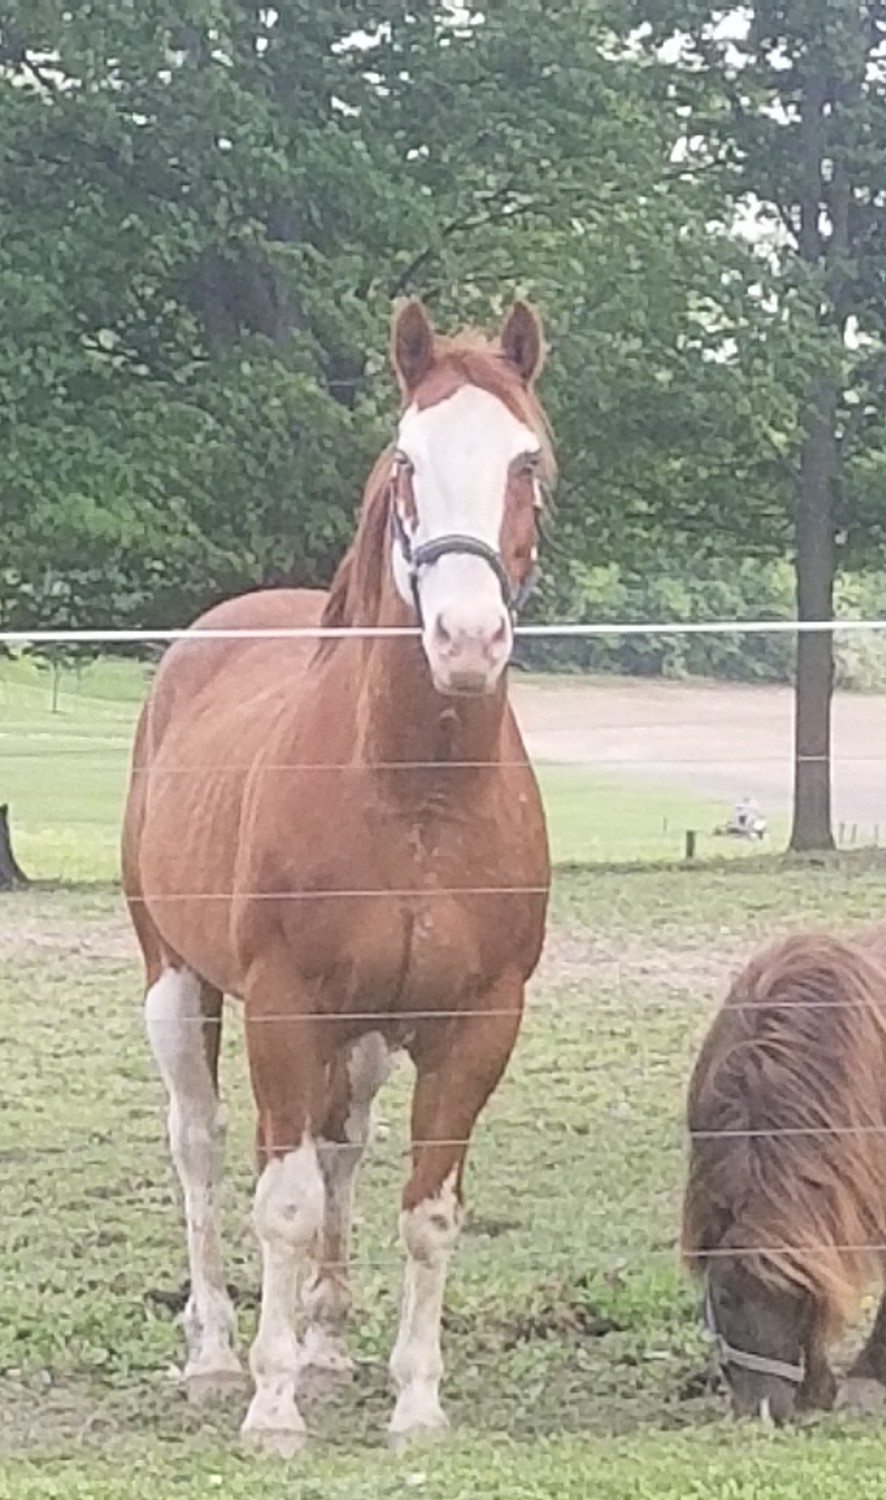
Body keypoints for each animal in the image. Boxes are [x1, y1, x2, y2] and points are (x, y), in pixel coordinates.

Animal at [121, 297, 554, 1455]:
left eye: (527, 461)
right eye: (407, 461)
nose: (466, 639)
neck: (415, 795)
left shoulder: (475, 1023)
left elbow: (426, 1210)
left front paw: (415, 1401)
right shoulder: (283, 1008)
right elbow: (282, 1202)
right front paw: (270, 1408)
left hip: (359, 1039)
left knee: (341, 1147)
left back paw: (321, 1339)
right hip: (178, 984)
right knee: (202, 1149)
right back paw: (215, 1352)